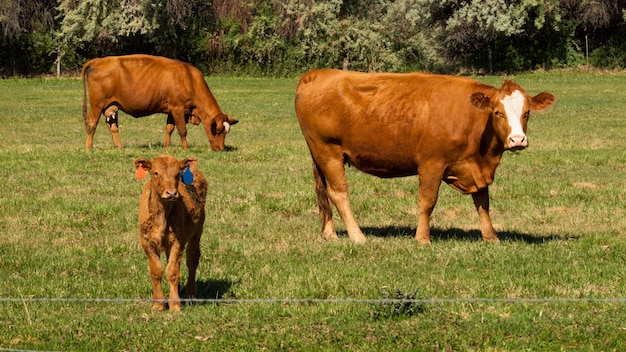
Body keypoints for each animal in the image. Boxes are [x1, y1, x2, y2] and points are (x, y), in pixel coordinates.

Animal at [81, 54, 238, 151]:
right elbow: (182, 130)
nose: (220, 148)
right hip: (97, 105)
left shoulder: (172, 110)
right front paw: (186, 148)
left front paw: (166, 146)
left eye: (226, 132)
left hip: (111, 106)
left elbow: (169, 128)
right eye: (218, 130)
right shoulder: (178, 108)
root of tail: (98, 60)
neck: (189, 79)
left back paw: (119, 147)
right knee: (91, 123)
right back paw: (89, 147)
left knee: (113, 126)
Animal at [133, 154, 207, 310]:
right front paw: (158, 304)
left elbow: (172, 271)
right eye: (155, 173)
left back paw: (190, 294)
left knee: (192, 258)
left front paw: (175, 305)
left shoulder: (178, 241)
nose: (171, 193)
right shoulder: (147, 242)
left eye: (178, 174)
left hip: (198, 230)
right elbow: (157, 271)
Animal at [292, 69, 552, 245]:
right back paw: (357, 236)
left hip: (320, 155)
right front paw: (422, 238)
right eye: (498, 112)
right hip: (328, 151)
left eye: (527, 112)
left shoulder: (476, 166)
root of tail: (317, 74)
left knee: (324, 192)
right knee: (339, 193)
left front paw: (491, 236)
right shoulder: (431, 163)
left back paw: (330, 233)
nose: (517, 140)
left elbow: (483, 202)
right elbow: (427, 201)